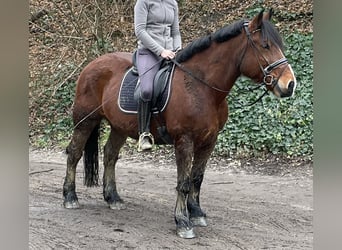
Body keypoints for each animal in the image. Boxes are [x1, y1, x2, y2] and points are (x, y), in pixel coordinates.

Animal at [63, 9, 296, 239]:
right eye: (265, 46)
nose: (290, 85)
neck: (202, 87)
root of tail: (92, 64)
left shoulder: (209, 141)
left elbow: (197, 179)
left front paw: (196, 213)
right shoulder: (185, 140)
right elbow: (183, 182)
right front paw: (183, 222)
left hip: (119, 127)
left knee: (110, 154)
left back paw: (113, 198)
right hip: (85, 120)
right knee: (74, 153)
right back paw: (70, 197)